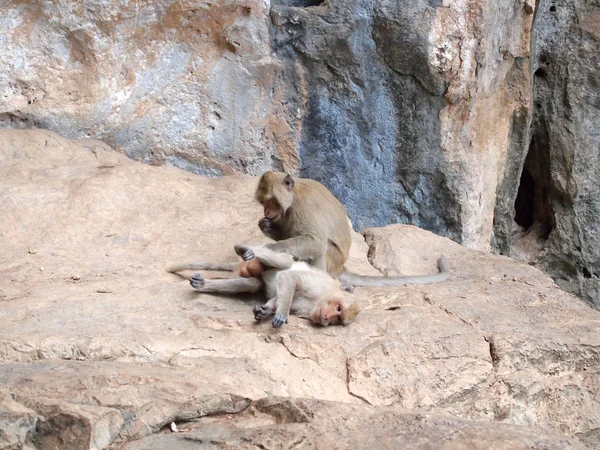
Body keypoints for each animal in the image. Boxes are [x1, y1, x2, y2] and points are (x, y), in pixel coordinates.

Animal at [166, 244, 358, 328]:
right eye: (339, 308)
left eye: (337, 319)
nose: (327, 317)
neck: (320, 299)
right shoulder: (319, 286)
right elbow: (290, 277)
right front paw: (281, 313)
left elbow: (279, 297)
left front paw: (265, 311)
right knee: (285, 262)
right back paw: (246, 250)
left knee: (252, 283)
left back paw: (203, 284)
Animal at [248, 171, 450, 286]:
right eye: (263, 202)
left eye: (271, 201)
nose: (267, 211)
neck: (294, 196)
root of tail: (340, 268)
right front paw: (265, 226)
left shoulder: (305, 206)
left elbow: (315, 242)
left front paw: (267, 249)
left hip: (332, 260)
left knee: (322, 248)